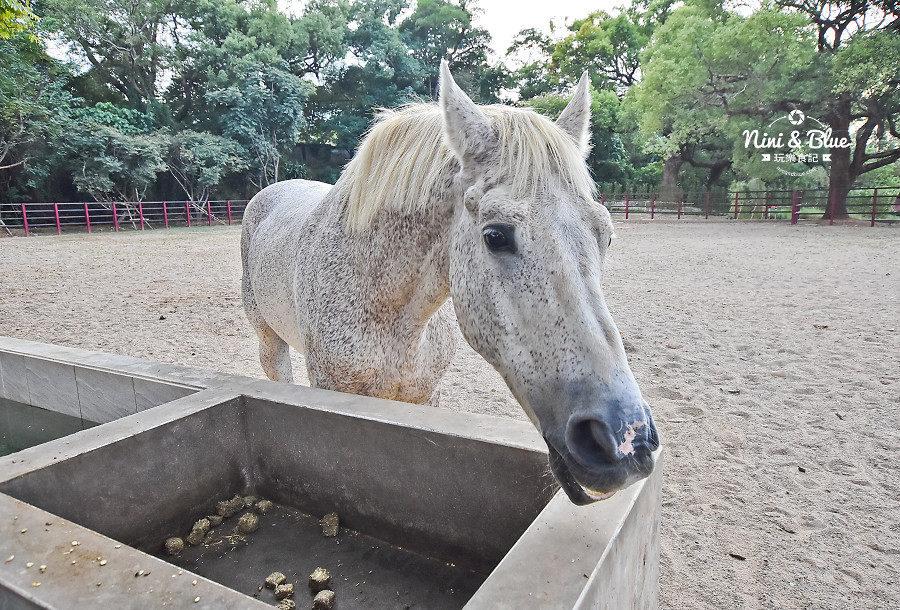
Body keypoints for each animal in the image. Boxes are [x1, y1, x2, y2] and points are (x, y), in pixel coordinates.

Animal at [241, 61, 659, 504]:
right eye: (495, 235)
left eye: (606, 236)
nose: (626, 439)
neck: (390, 314)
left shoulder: (426, 395)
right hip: (270, 342)